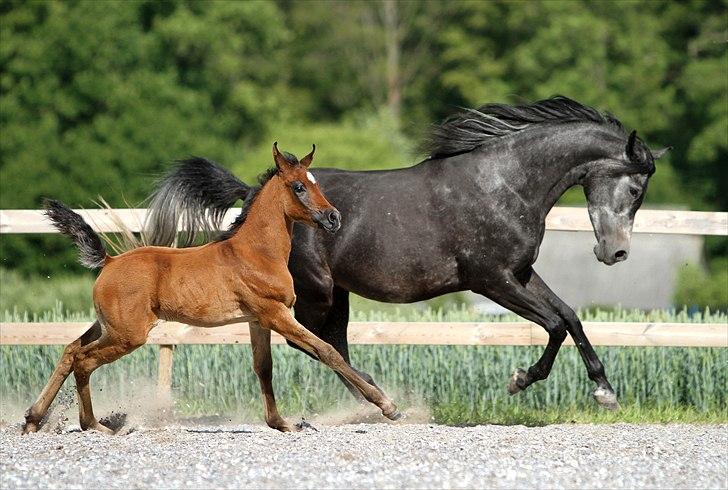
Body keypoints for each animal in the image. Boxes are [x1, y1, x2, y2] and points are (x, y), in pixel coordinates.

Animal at [24, 144, 398, 434]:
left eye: (313, 183)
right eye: (298, 187)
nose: (333, 217)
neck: (257, 252)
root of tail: (109, 261)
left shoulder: (257, 320)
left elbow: (263, 368)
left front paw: (281, 423)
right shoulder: (275, 313)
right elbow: (328, 350)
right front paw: (387, 405)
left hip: (108, 326)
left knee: (70, 350)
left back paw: (33, 419)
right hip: (127, 334)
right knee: (83, 361)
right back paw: (94, 425)